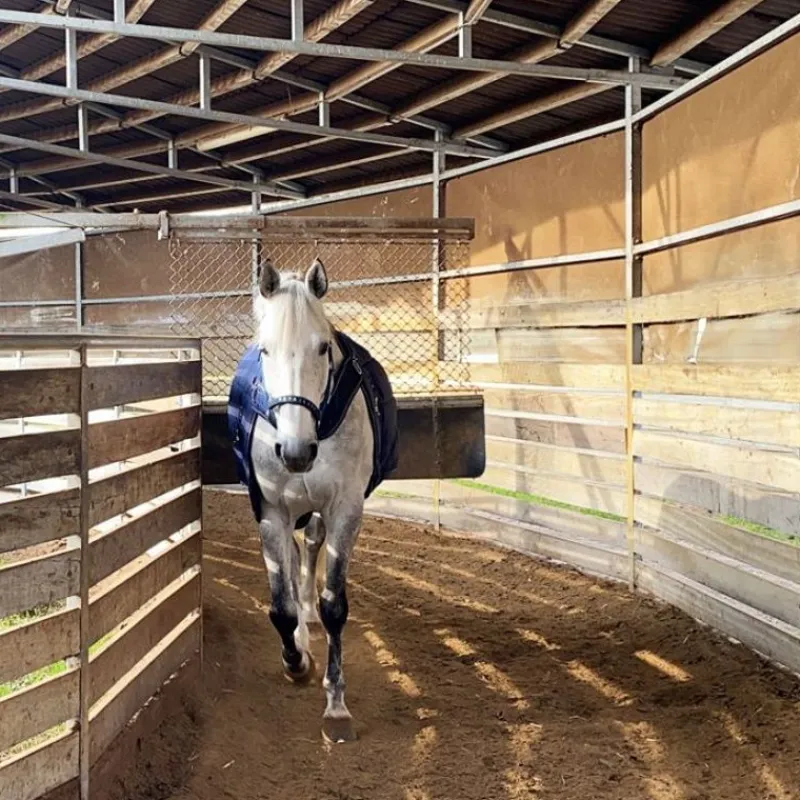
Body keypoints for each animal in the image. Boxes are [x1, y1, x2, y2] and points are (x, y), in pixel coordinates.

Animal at [227, 256, 398, 743]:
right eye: (265, 350)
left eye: (323, 348)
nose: (296, 451)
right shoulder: (270, 509)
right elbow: (280, 607)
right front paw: (296, 659)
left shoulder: (345, 508)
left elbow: (334, 603)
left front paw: (336, 704)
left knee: (311, 546)